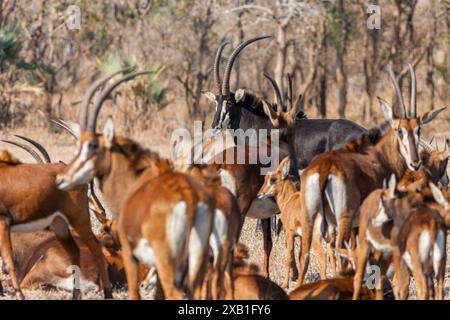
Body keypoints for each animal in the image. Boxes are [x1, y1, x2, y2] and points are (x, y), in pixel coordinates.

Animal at [296, 62, 446, 284]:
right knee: (341, 249)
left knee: (306, 253)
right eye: (399, 130)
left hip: (311, 215)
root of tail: (325, 167)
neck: (380, 156)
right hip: (345, 218)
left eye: (418, 129)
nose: (415, 162)